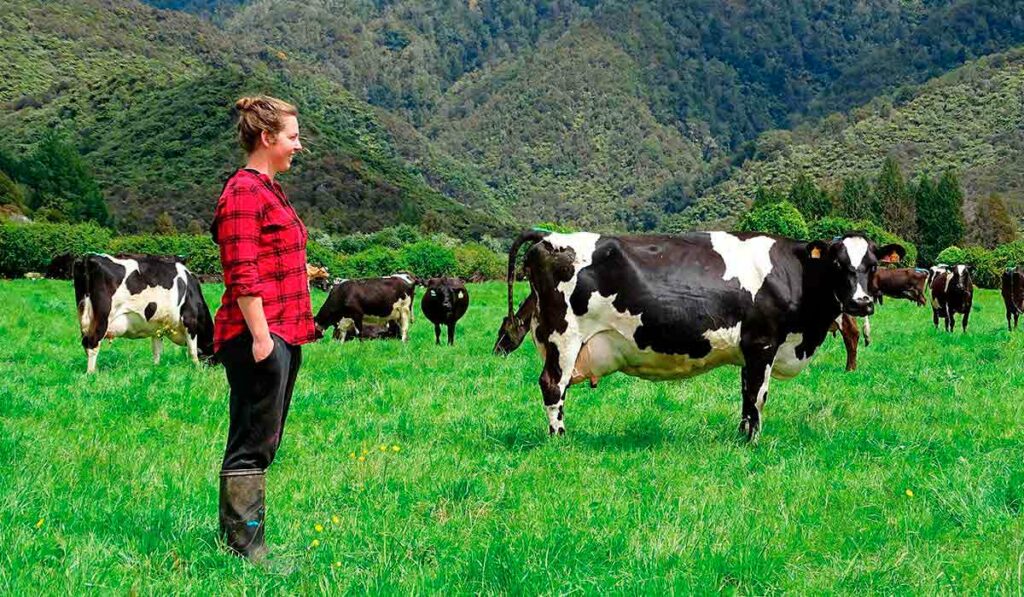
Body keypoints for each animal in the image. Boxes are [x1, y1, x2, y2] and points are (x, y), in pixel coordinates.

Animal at [74, 251, 216, 372]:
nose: (215, 367)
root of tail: (89, 257)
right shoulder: (190, 320)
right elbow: (193, 350)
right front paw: (198, 369)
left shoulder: (158, 327)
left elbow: (157, 350)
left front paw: (156, 368)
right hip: (103, 317)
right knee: (92, 343)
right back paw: (91, 373)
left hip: (84, 317)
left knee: (85, 343)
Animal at [503, 231, 905, 442]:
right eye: (838, 264)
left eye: (872, 266)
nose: (861, 302)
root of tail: (549, 236)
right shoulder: (763, 343)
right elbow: (758, 396)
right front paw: (752, 443)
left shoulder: (750, 351)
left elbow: (745, 395)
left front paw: (741, 436)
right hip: (563, 338)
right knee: (552, 386)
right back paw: (560, 438)